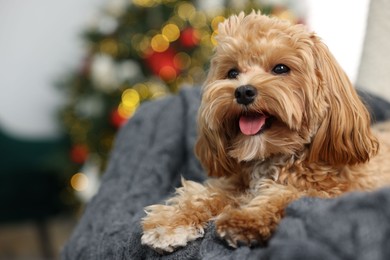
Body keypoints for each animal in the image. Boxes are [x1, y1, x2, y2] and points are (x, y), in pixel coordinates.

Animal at [141, 11, 390, 253]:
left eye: (280, 68)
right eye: (232, 73)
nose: (243, 91)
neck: (271, 157)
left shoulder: (328, 191)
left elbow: (285, 195)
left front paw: (246, 219)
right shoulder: (233, 183)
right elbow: (204, 194)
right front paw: (170, 222)